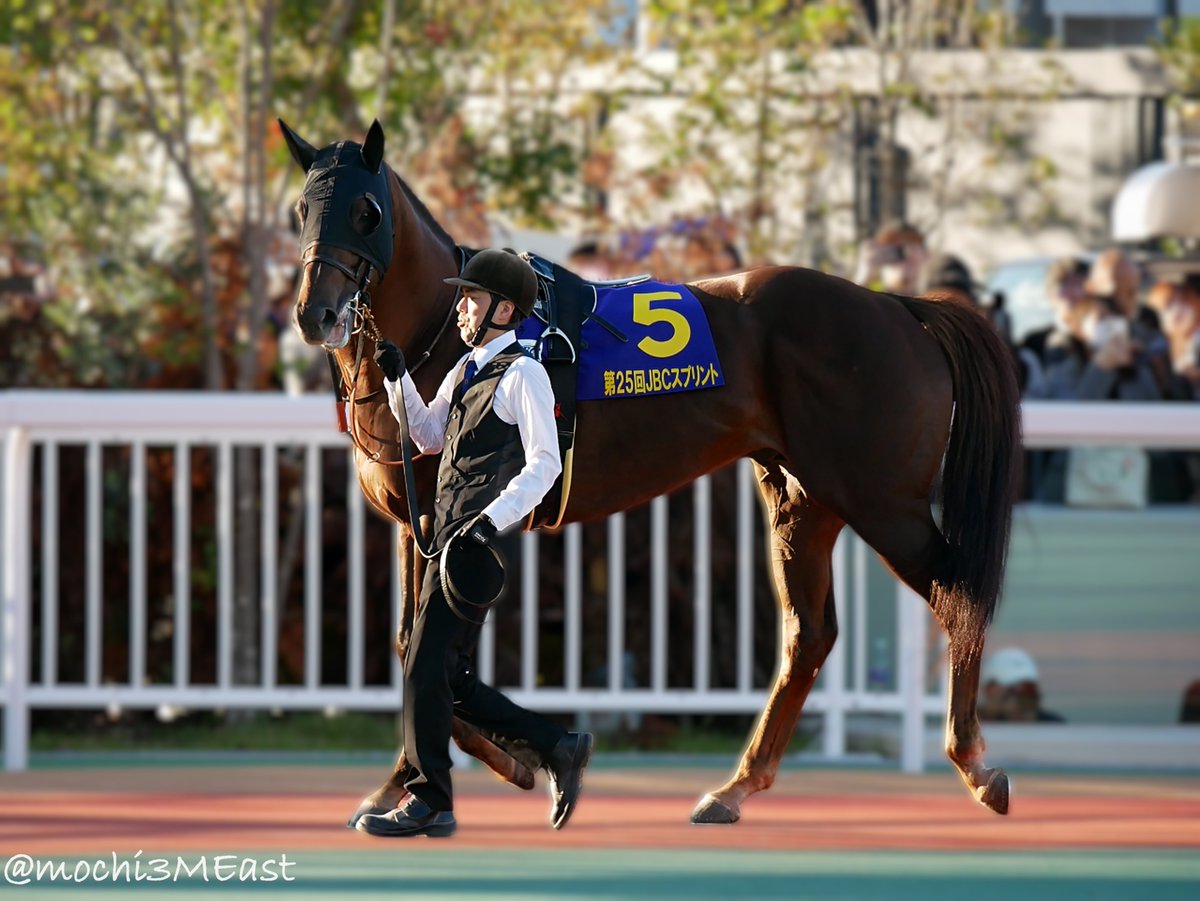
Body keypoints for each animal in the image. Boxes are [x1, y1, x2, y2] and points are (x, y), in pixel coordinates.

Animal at [279, 118, 1022, 826]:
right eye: (301, 209)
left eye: (367, 210)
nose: (316, 314)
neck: (451, 340)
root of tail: (899, 307)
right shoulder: (419, 524)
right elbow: (412, 643)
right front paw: (420, 778)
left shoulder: (453, 522)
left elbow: (429, 649)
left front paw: (491, 765)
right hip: (804, 502)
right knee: (809, 635)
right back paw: (736, 786)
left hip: (882, 499)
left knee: (956, 594)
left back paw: (975, 762)